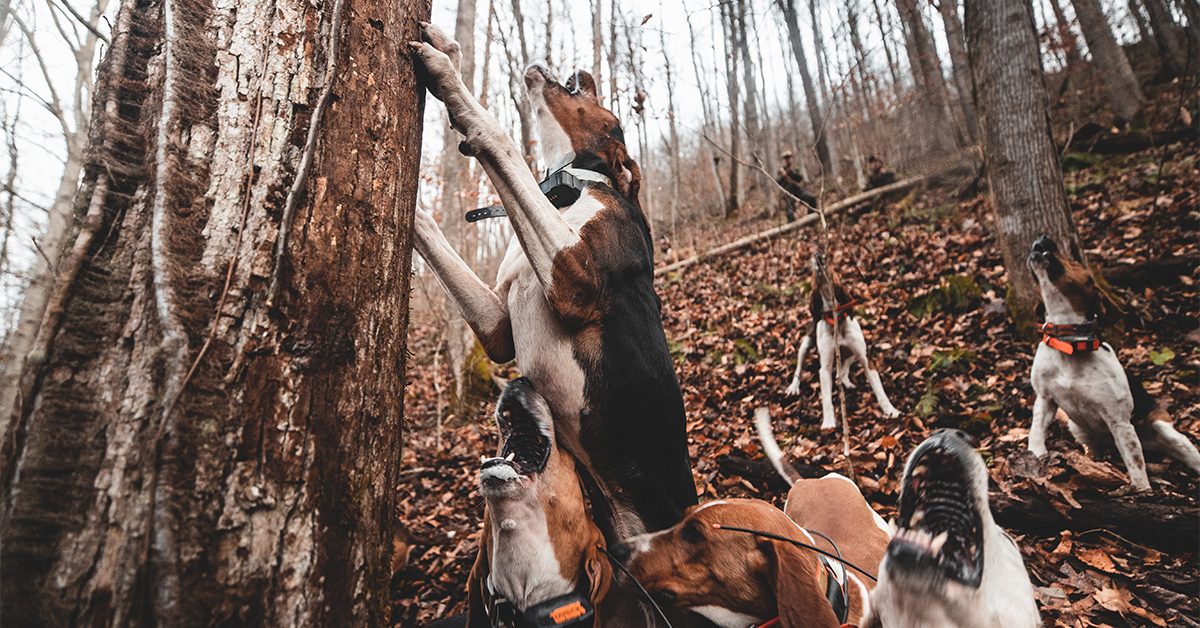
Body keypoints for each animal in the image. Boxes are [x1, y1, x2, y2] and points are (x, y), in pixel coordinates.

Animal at [410, 24, 696, 537]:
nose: (585, 71)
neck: (570, 192)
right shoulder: (497, 329)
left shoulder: (572, 282)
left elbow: (500, 138)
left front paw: (448, 80)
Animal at [782, 253, 897, 429]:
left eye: (829, 262)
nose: (818, 255)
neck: (836, 319)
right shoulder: (825, 367)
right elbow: (826, 398)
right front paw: (829, 422)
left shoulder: (865, 358)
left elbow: (879, 390)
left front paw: (891, 410)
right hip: (805, 344)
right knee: (799, 368)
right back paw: (794, 386)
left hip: (852, 353)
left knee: (842, 372)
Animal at [1022, 232, 1200, 494]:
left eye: (1075, 261)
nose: (1043, 237)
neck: (1069, 343)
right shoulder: (1045, 399)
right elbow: (1036, 432)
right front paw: (1034, 458)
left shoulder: (1120, 422)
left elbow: (1135, 465)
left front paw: (1141, 491)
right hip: (1077, 427)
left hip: (1164, 429)